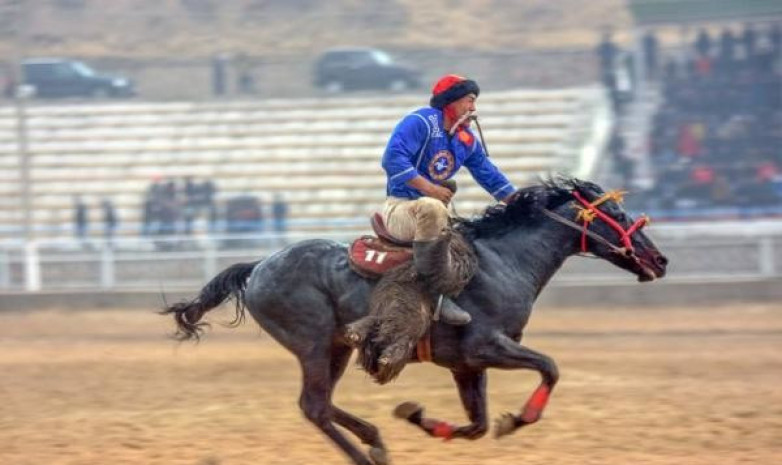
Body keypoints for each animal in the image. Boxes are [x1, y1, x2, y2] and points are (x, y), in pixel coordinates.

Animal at [164, 178, 668, 464]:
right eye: (616, 212)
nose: (660, 260)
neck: (501, 261)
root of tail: (258, 266)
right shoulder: (487, 346)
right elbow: (550, 367)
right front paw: (519, 418)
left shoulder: (467, 365)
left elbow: (476, 423)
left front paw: (422, 418)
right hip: (313, 343)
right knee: (314, 406)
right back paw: (369, 455)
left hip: (337, 347)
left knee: (320, 405)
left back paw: (375, 439)